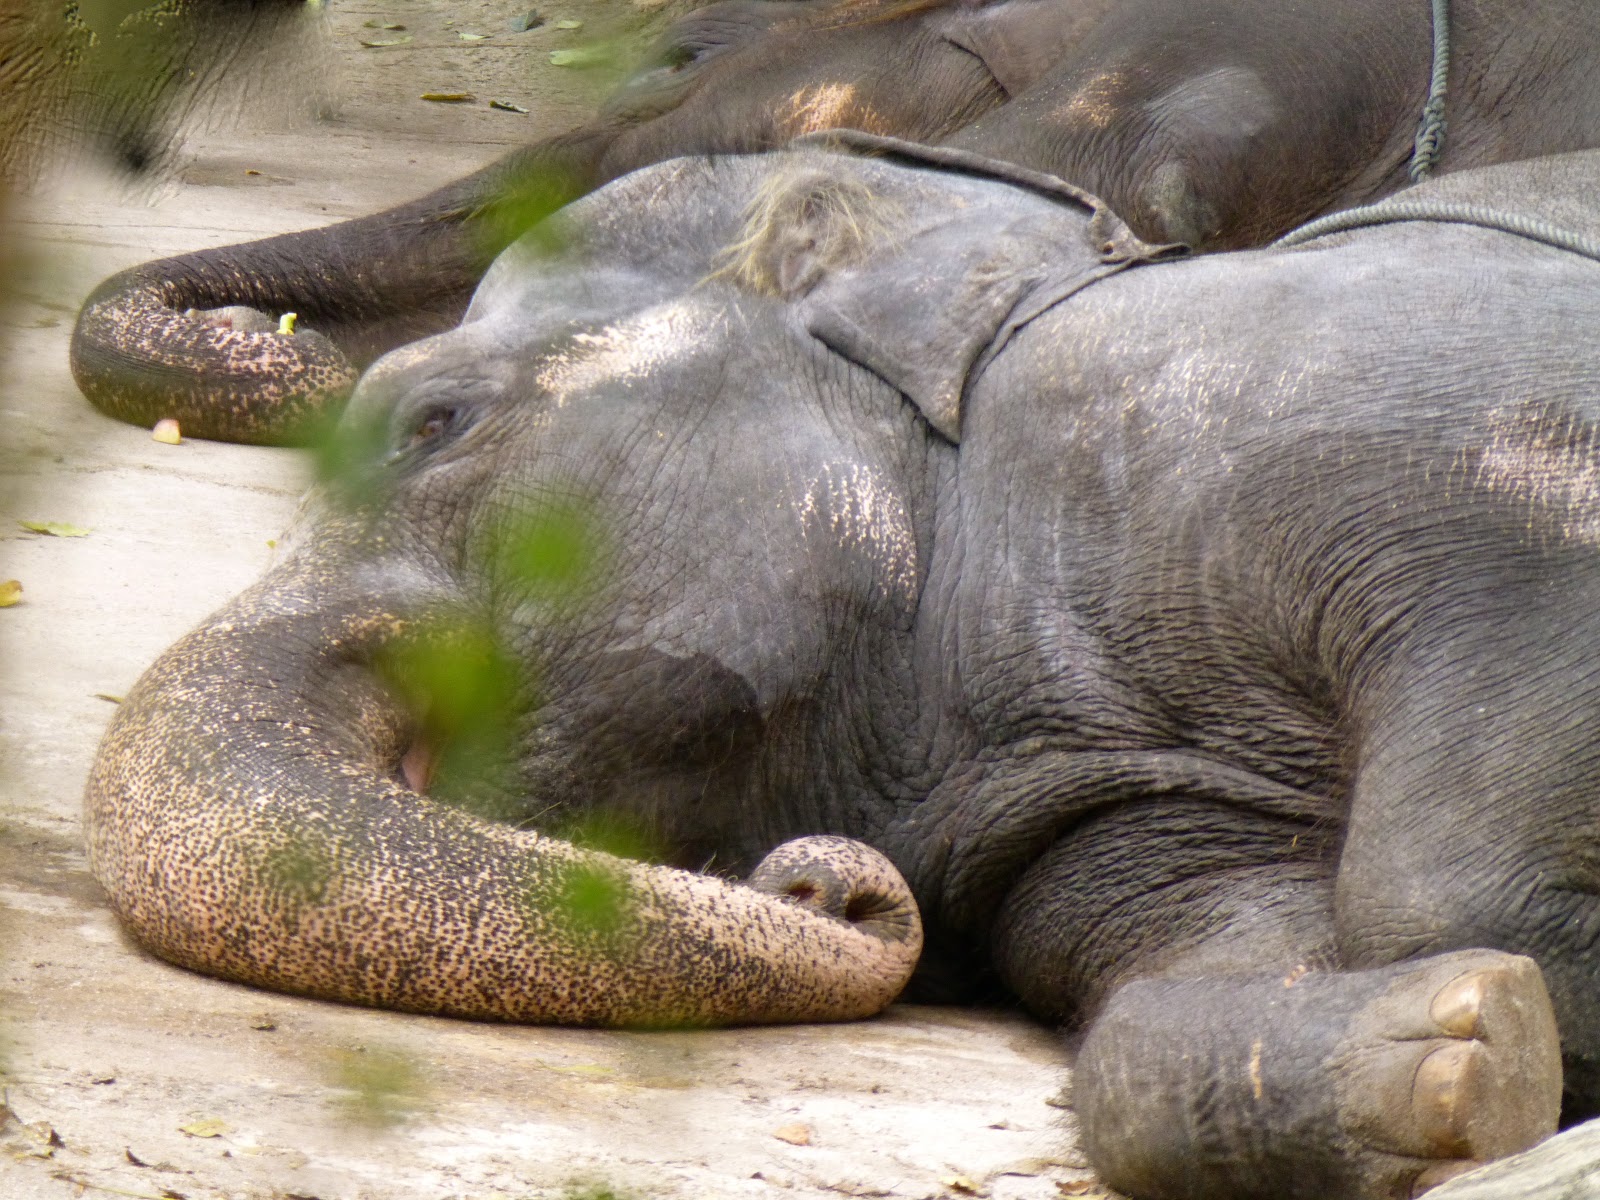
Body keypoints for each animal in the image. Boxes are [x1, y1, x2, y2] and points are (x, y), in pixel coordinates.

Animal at [86, 136, 1600, 1199]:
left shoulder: (1352, 407)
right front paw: (1475, 1047)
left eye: (430, 421)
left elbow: (1424, 890)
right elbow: (1199, 982)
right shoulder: (1099, 819)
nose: (819, 881)